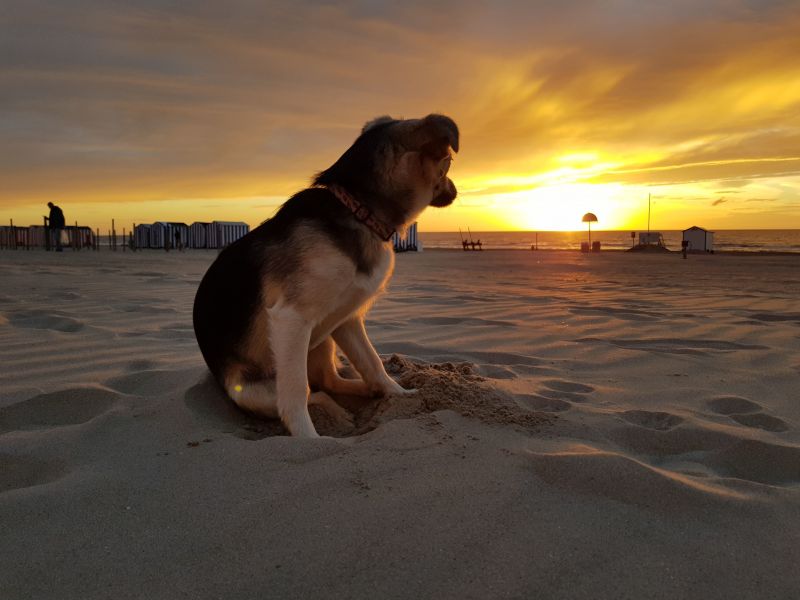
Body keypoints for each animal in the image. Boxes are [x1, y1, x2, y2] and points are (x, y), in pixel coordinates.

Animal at [191, 115, 460, 436]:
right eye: (448, 162)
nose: (456, 189)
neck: (359, 210)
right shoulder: (291, 318)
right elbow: (297, 392)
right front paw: (308, 438)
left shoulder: (347, 319)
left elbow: (372, 362)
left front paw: (398, 394)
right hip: (254, 389)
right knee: (310, 392)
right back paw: (336, 415)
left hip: (322, 341)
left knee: (328, 381)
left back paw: (366, 392)